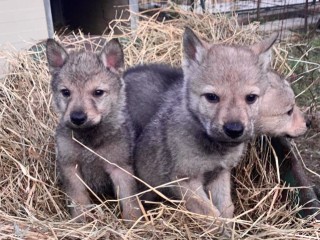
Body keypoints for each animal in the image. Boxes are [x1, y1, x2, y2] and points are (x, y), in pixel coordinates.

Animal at [45, 39, 141, 221]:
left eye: (98, 92)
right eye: (66, 92)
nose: (77, 118)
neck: (89, 140)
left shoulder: (120, 168)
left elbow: (130, 202)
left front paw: (134, 221)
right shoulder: (70, 167)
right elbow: (79, 200)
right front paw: (81, 220)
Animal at [134, 27, 276, 218]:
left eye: (251, 98)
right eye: (211, 97)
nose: (234, 129)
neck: (216, 149)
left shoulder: (221, 173)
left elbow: (227, 208)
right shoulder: (185, 180)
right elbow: (211, 213)